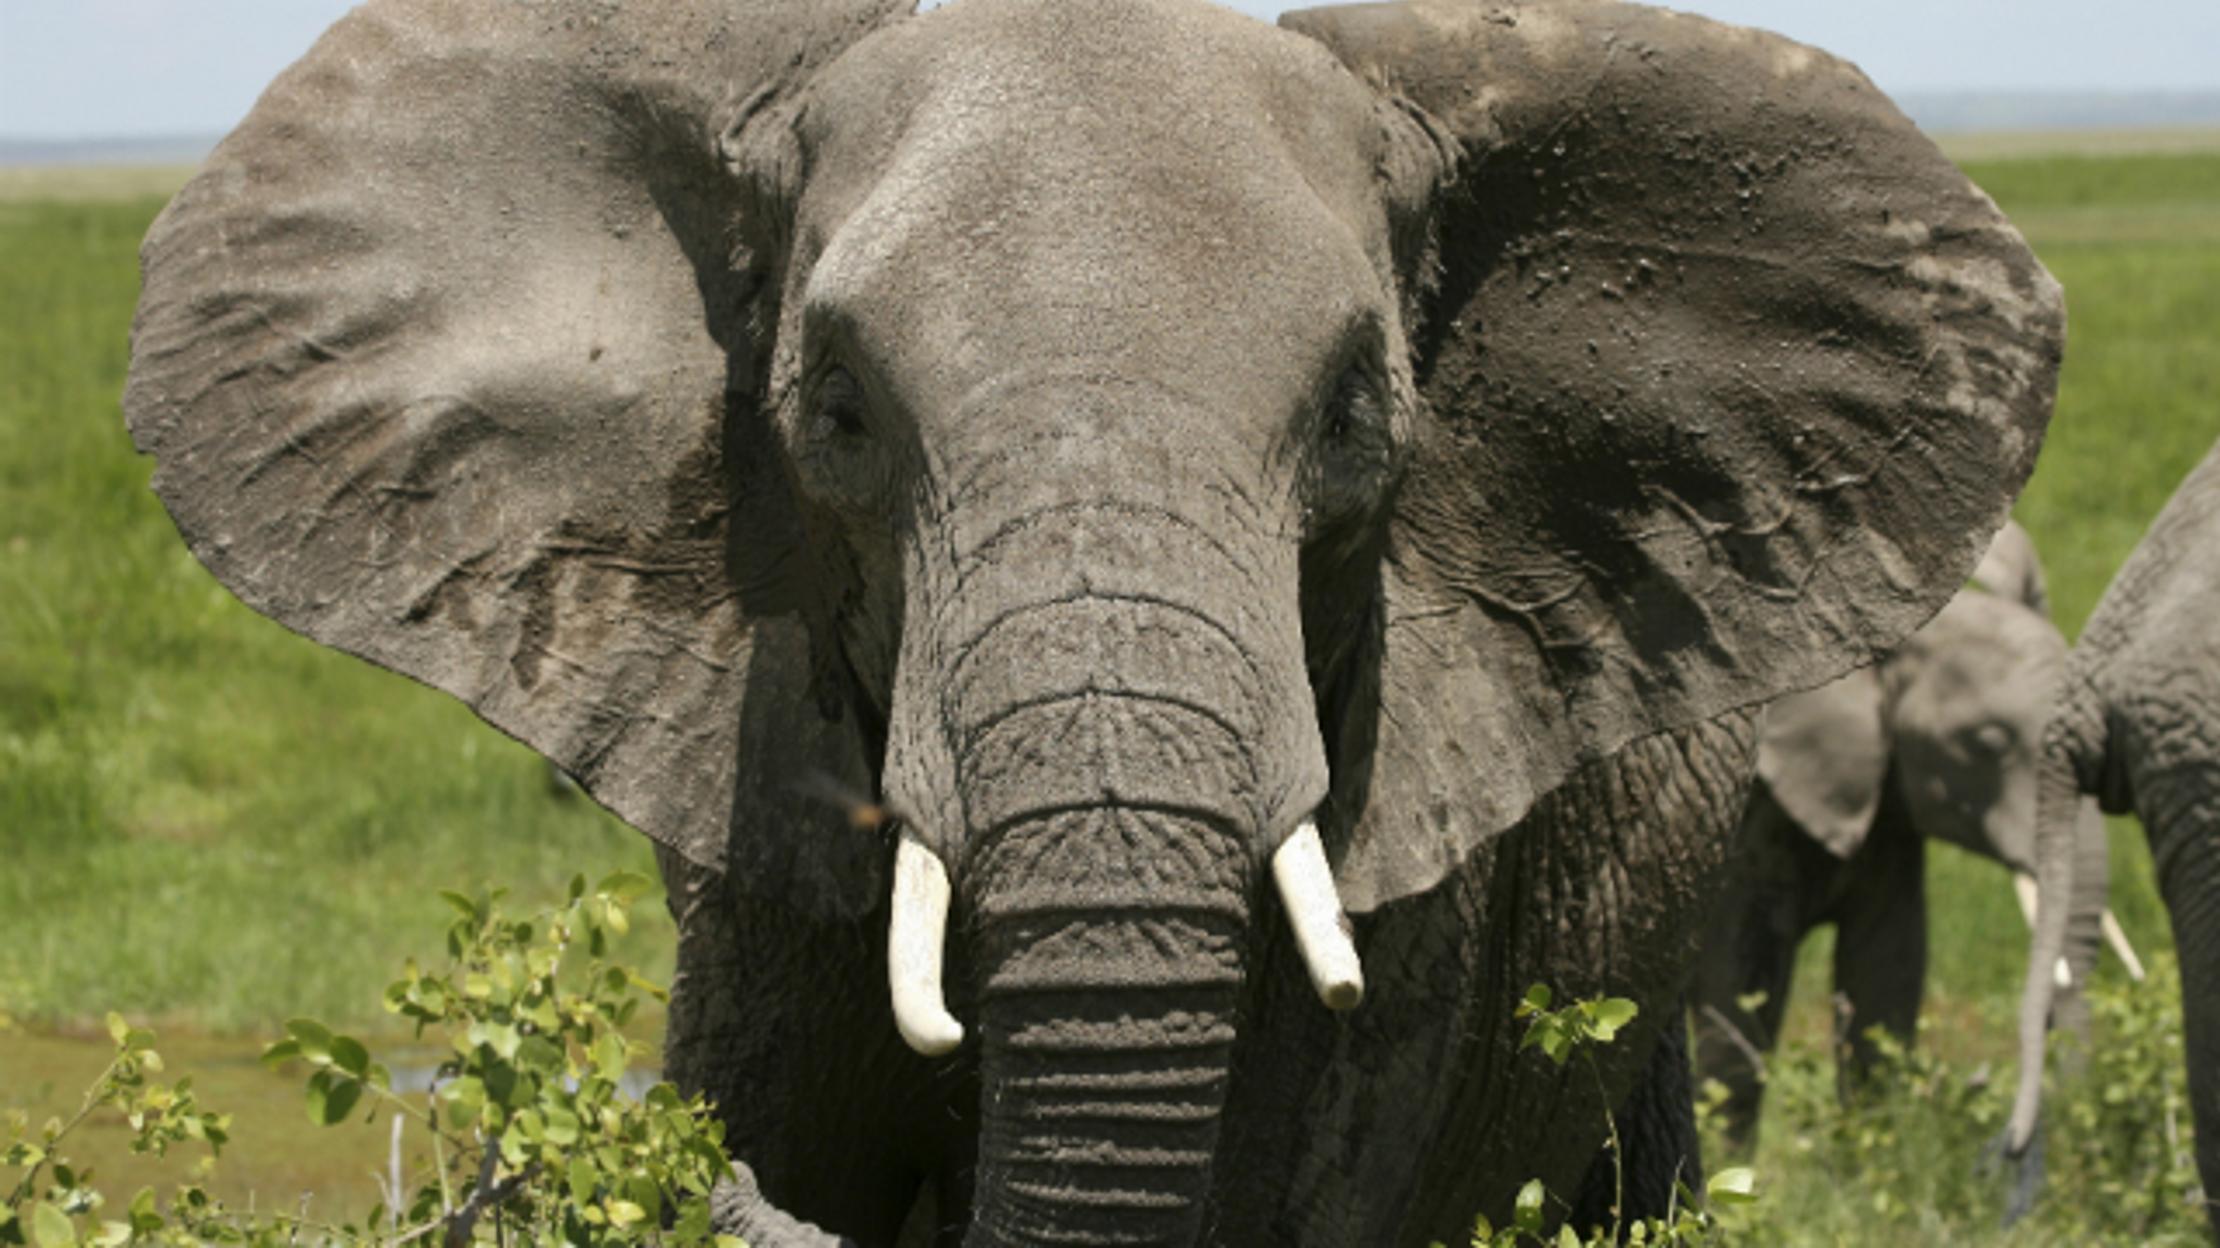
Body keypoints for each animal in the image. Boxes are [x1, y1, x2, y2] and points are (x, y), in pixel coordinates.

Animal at [1688, 521, 2144, 1145]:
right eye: (1986, 743)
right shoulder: (1745, 822)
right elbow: (1738, 992)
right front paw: (1730, 1161)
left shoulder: (1888, 809)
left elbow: (1887, 975)